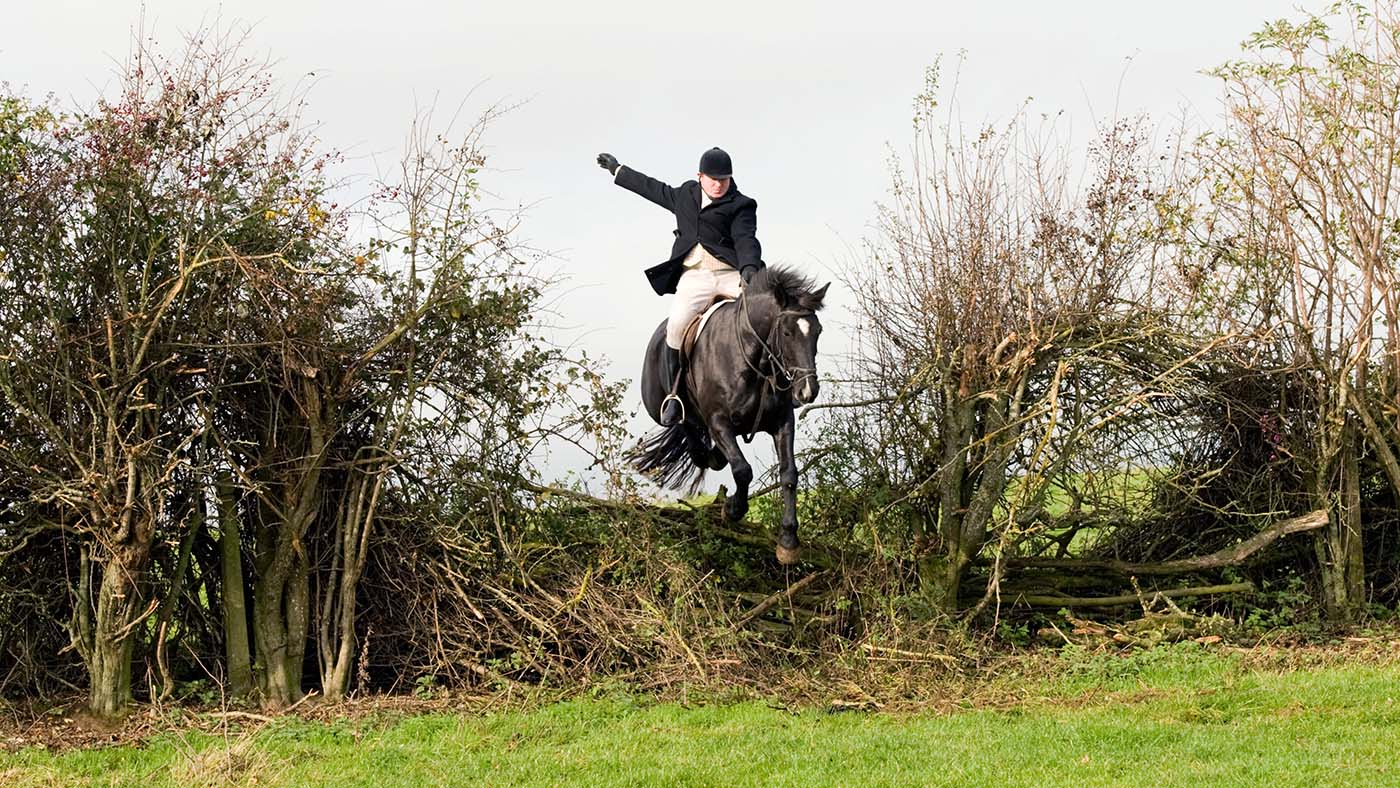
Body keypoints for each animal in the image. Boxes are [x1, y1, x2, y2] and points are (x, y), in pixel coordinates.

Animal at [630, 268, 823, 565]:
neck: (755, 363)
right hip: (660, 403)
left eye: (818, 332)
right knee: (686, 425)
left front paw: (788, 541)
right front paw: (733, 509)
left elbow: (789, 474)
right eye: (787, 332)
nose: (807, 391)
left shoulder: (782, 423)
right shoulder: (720, 423)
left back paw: (714, 455)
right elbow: (743, 470)